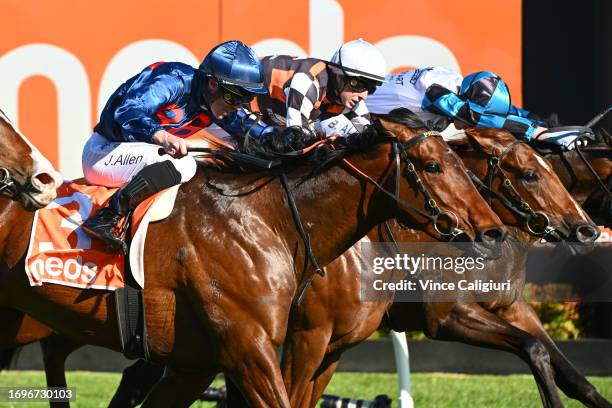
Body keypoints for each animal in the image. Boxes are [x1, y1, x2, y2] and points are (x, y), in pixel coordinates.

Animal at [0, 111, 506, 404]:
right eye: (434, 166)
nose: (494, 231)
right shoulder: (254, 348)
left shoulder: (194, 364)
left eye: (463, 165)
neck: (267, 221)